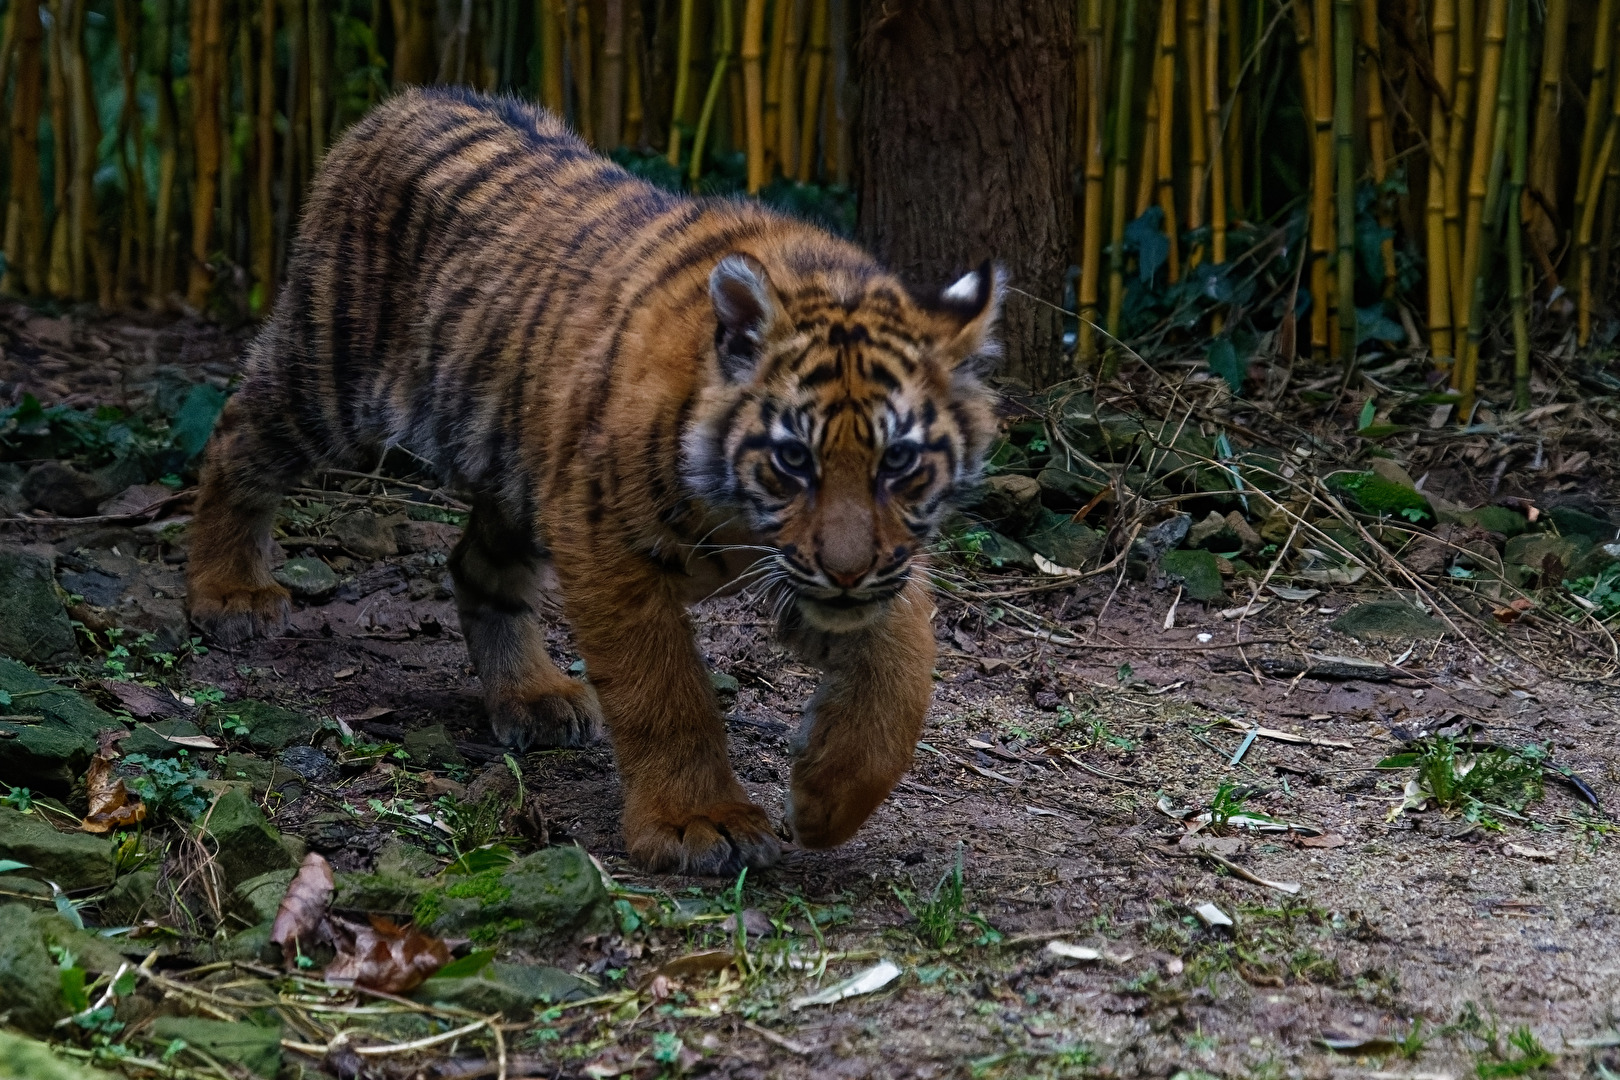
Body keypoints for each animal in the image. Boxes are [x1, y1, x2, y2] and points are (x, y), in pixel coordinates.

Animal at [185, 87, 1003, 875]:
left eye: (898, 461)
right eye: (794, 459)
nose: (846, 572)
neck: (742, 522)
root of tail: (402, 103)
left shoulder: (843, 569)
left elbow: (903, 663)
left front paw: (828, 799)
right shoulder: (605, 538)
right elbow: (664, 691)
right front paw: (698, 822)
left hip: (515, 464)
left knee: (477, 567)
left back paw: (533, 696)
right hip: (329, 381)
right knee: (234, 439)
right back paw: (228, 594)